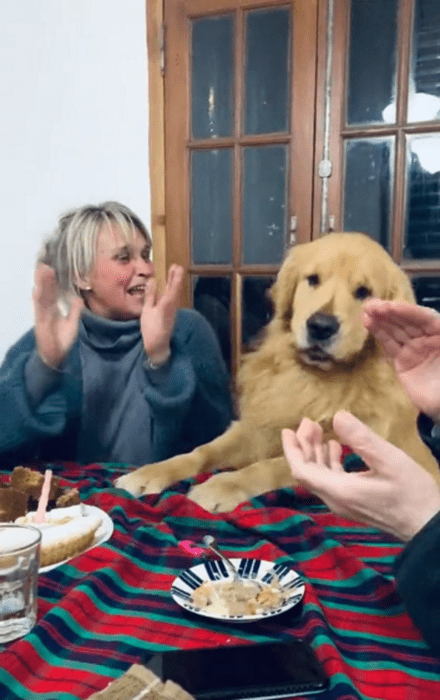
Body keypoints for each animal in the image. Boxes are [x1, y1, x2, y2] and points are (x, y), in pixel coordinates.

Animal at [117, 232, 440, 512]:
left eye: (364, 292)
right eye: (313, 279)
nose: (320, 327)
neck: (313, 379)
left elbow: (267, 466)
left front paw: (220, 486)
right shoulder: (255, 428)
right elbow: (202, 451)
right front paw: (149, 473)